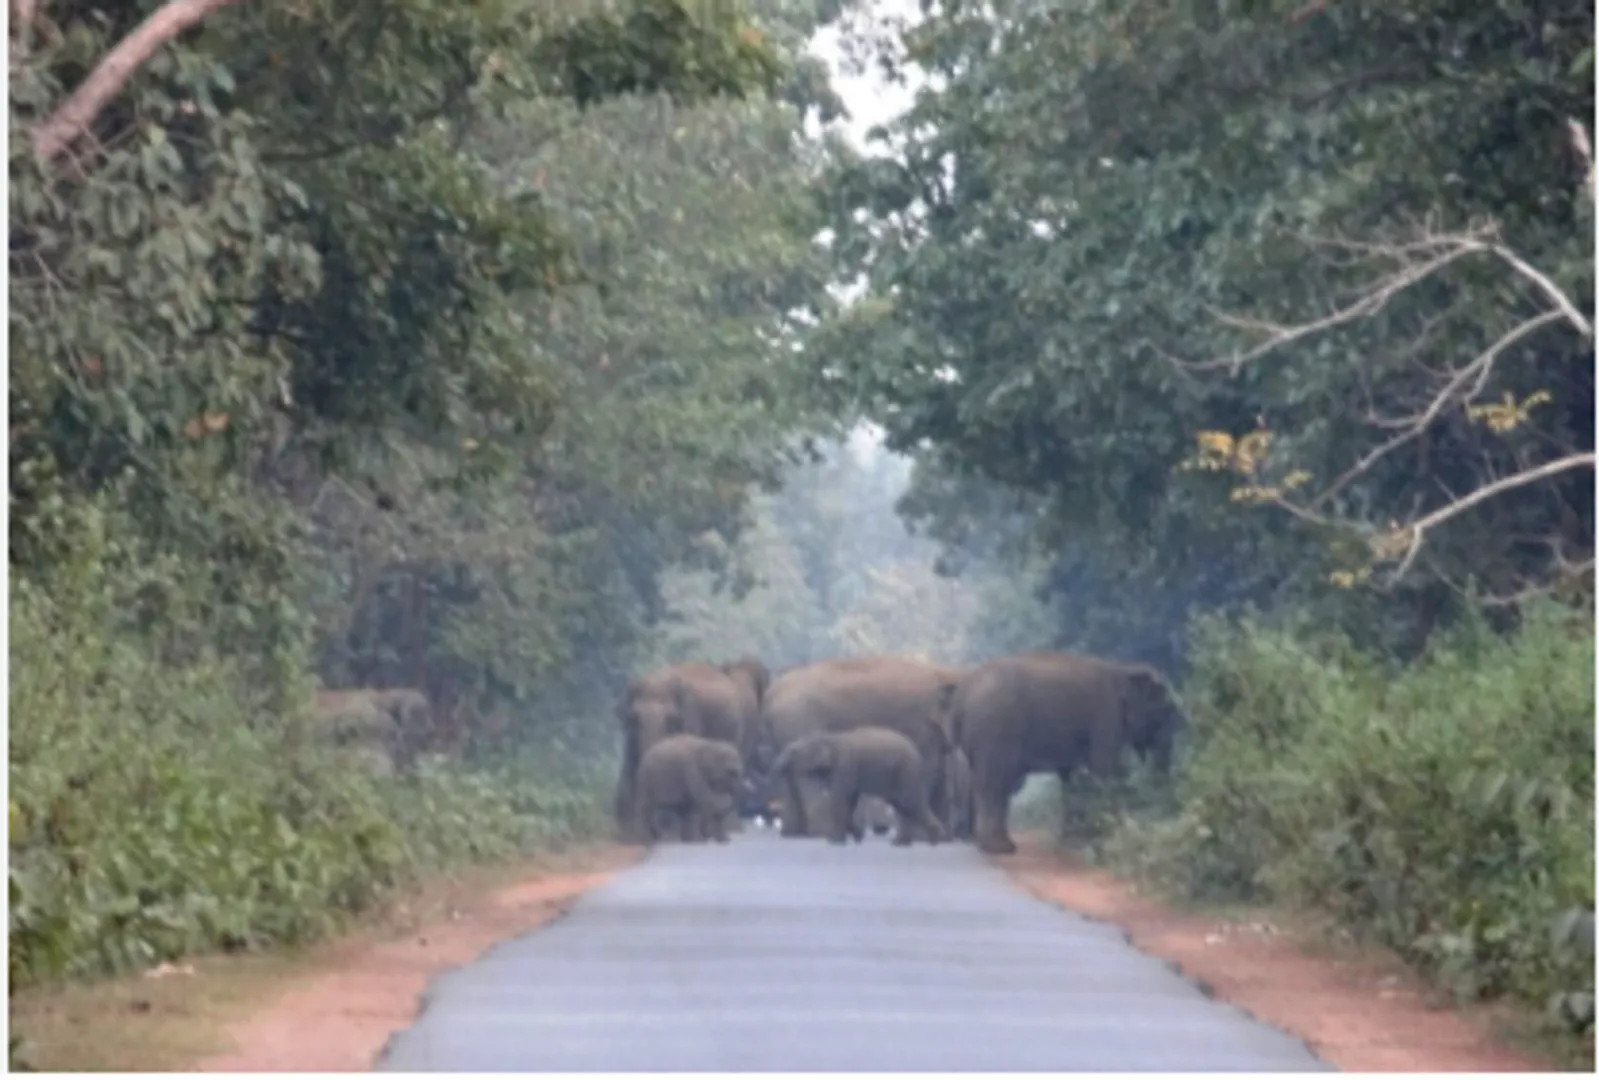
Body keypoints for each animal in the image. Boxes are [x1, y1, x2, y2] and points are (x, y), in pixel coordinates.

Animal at [613, 658, 771, 840]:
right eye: (635, 718)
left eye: (671, 718)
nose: (656, 833)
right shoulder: (631, 734)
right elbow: (629, 767)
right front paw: (629, 835)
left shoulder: (692, 717)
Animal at [770, 727, 947, 847]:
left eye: (793, 751)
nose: (777, 768)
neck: (829, 738)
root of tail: (917, 754)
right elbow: (850, 801)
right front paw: (856, 836)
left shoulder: (844, 766)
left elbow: (839, 799)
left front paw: (833, 841)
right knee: (904, 807)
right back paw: (903, 843)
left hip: (906, 773)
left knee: (910, 804)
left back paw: (933, 841)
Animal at [938, 651, 1187, 855]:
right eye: (1167, 710)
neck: (1122, 668)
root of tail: (961, 696)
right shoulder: (1105, 716)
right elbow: (1106, 768)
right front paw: (1107, 837)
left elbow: (1072, 776)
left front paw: (1072, 841)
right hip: (995, 730)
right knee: (996, 784)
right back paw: (999, 849)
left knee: (992, 785)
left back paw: (995, 845)